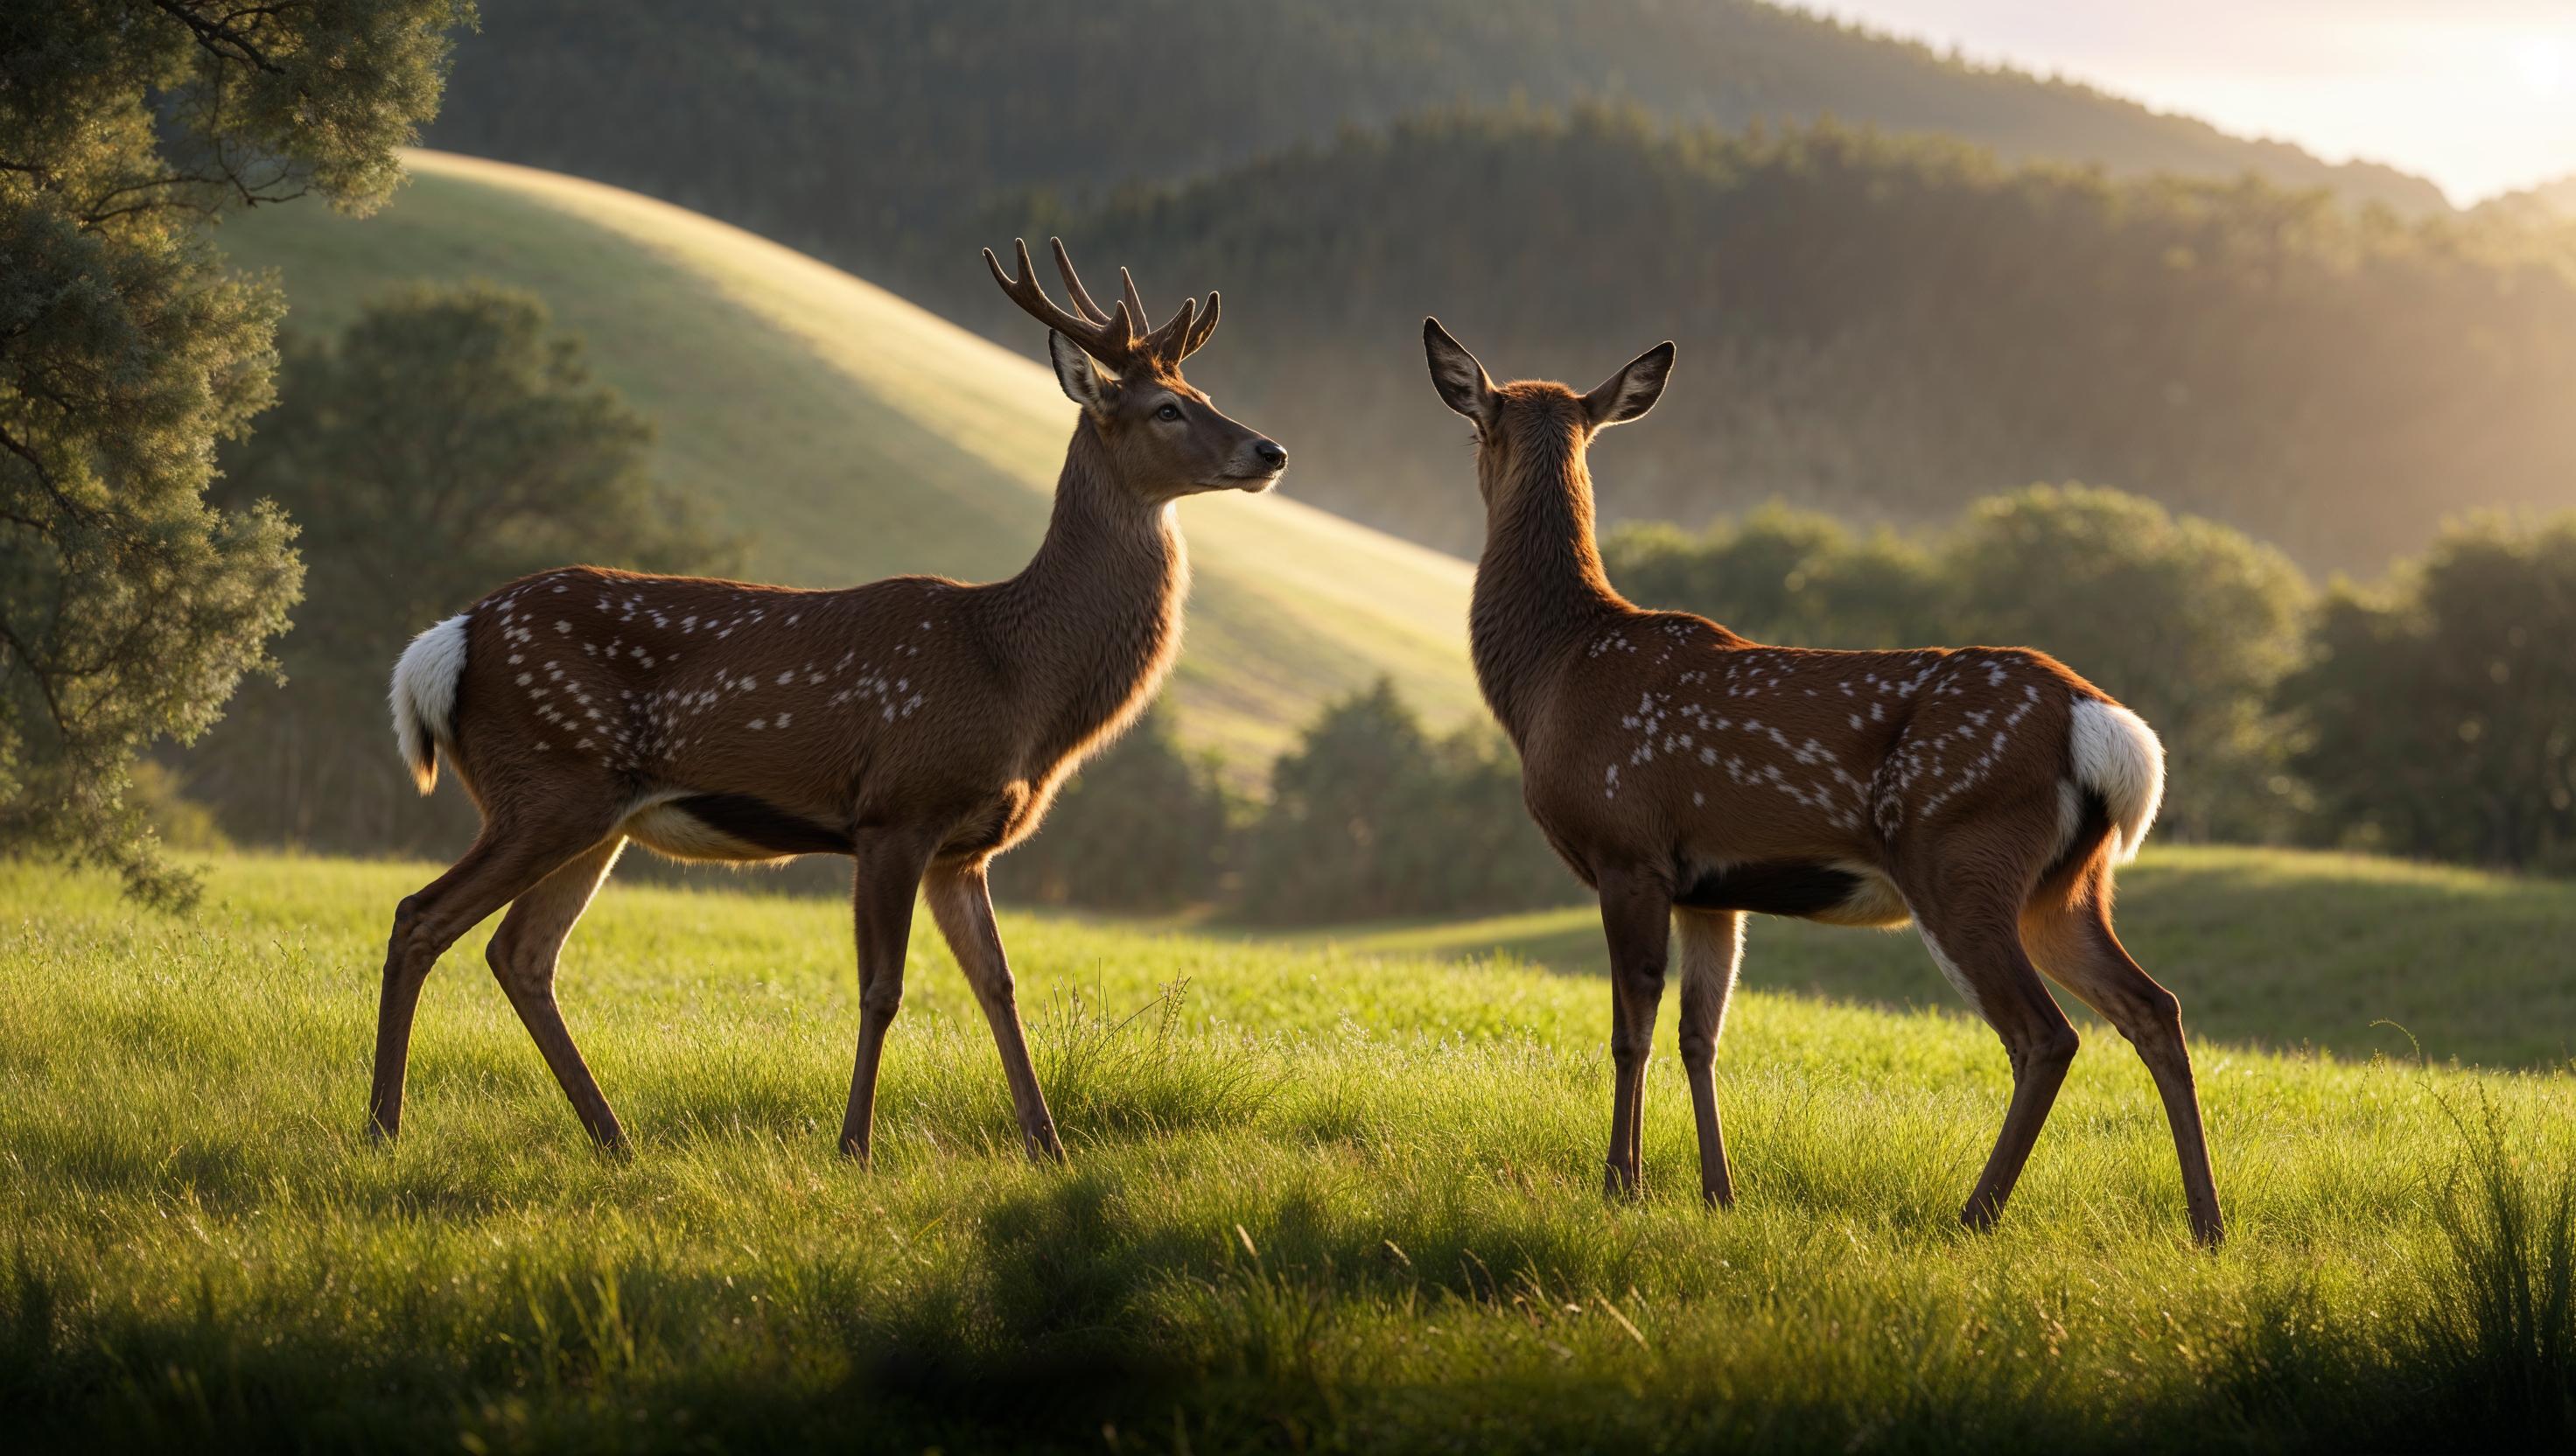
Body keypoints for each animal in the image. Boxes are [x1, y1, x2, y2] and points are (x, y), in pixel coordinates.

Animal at [370, 239, 1286, 1164]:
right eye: (1166, 409)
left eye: (1206, 395)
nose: (1270, 450)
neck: (1016, 675)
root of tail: (447, 641)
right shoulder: (895, 808)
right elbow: (882, 988)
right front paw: (854, 1148)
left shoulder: (965, 848)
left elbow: (999, 984)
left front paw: (1048, 1148)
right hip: (548, 782)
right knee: (421, 917)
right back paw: (384, 1128)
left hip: (596, 813)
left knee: (521, 952)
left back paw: (613, 1139)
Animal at [1420, 319, 2224, 1246]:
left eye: (1475, 431)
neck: (1554, 673)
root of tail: (2099, 725)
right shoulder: (1710, 888)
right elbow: (1702, 1034)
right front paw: (1717, 1193)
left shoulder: (1627, 848)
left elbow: (1632, 1030)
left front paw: (1621, 1185)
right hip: (2067, 886)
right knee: (2151, 1007)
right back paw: (2207, 1225)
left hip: (1960, 854)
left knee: (2047, 1035)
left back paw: (1973, 1215)